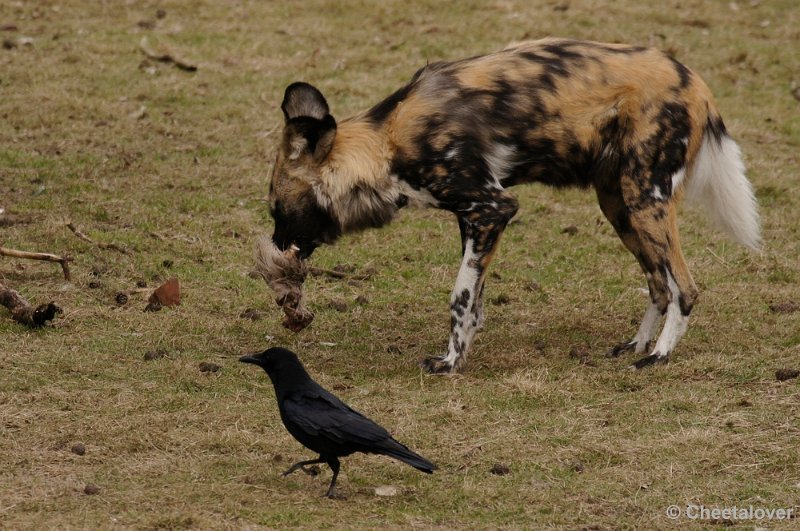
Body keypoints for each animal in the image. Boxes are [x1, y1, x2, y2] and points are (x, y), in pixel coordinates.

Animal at [266, 38, 760, 374]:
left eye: (276, 209)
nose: (275, 248)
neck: (386, 143)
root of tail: (696, 82)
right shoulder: (473, 217)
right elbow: (475, 298)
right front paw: (464, 347)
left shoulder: (493, 207)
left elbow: (460, 295)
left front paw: (450, 363)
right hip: (619, 205)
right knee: (659, 283)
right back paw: (637, 346)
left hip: (645, 199)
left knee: (684, 287)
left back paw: (659, 355)